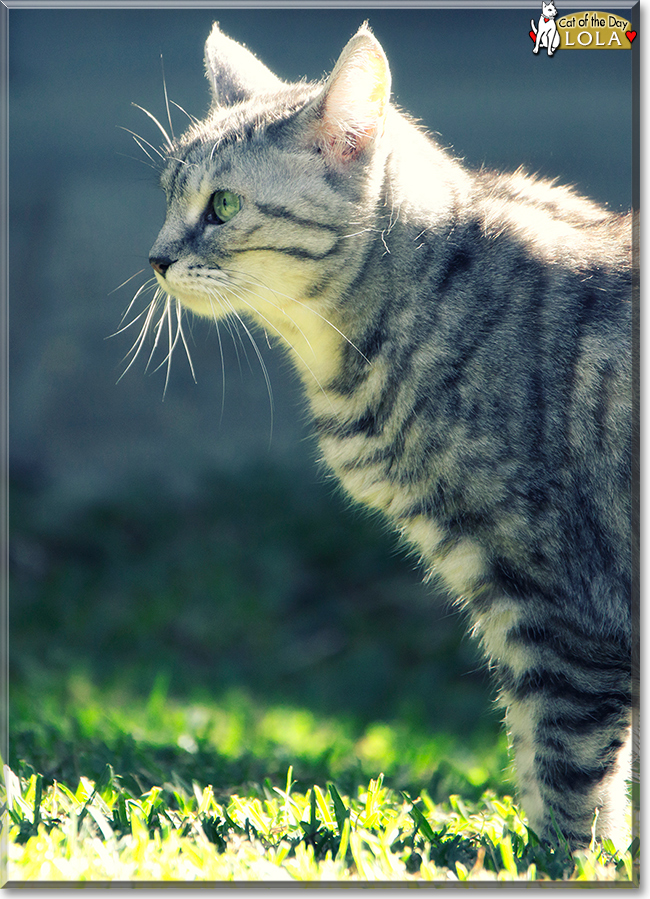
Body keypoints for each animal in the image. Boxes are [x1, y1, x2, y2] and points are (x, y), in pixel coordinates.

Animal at [138, 21, 632, 852]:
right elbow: (540, 761)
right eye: (169, 198)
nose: (156, 257)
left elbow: (566, 775)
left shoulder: (564, 610)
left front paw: (562, 859)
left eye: (223, 205)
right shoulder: (514, 605)